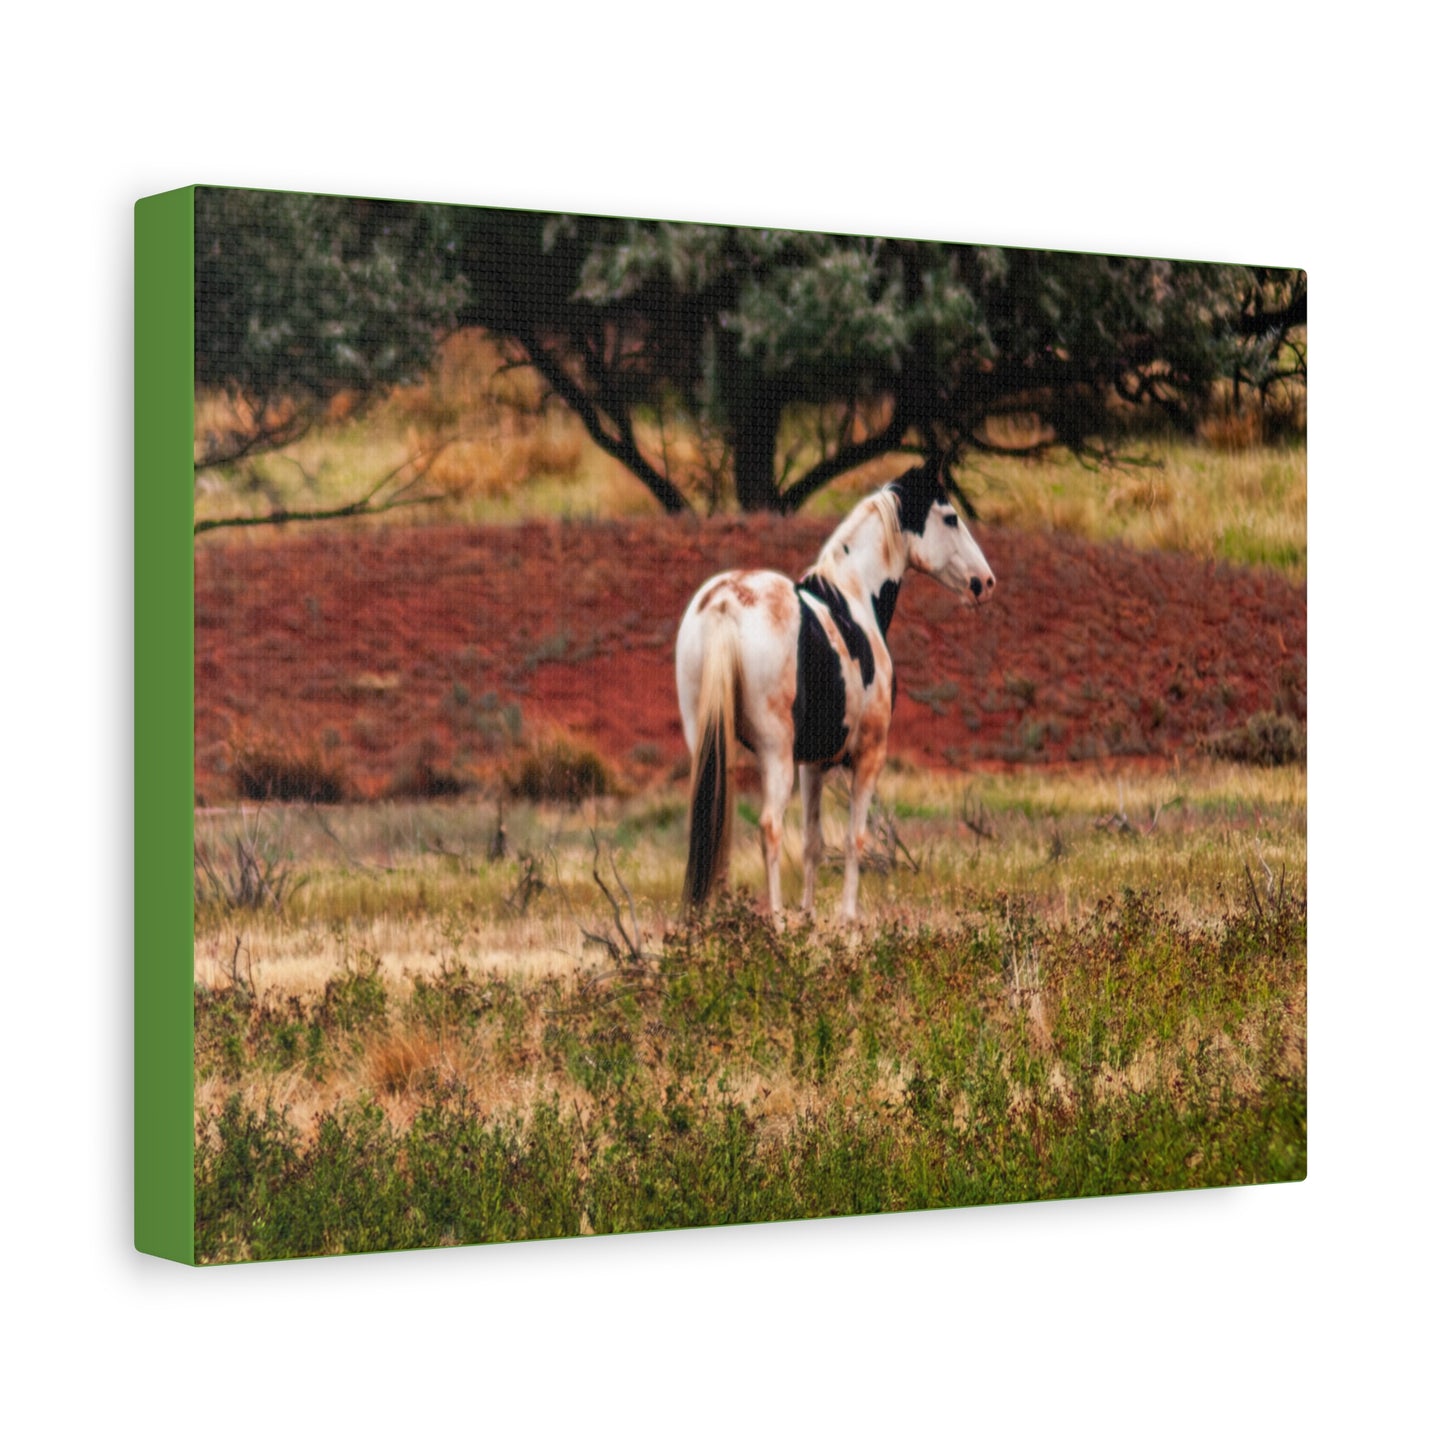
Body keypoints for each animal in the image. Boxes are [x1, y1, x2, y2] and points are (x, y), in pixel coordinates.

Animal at [675, 462, 995, 922]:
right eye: (950, 518)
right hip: (774, 752)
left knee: (715, 817)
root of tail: (724, 604)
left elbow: (813, 843)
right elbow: (853, 839)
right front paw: (847, 919)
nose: (984, 582)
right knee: (770, 827)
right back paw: (776, 921)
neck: (853, 598)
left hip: (708, 741)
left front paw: (809, 918)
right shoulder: (867, 756)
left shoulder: (812, 765)